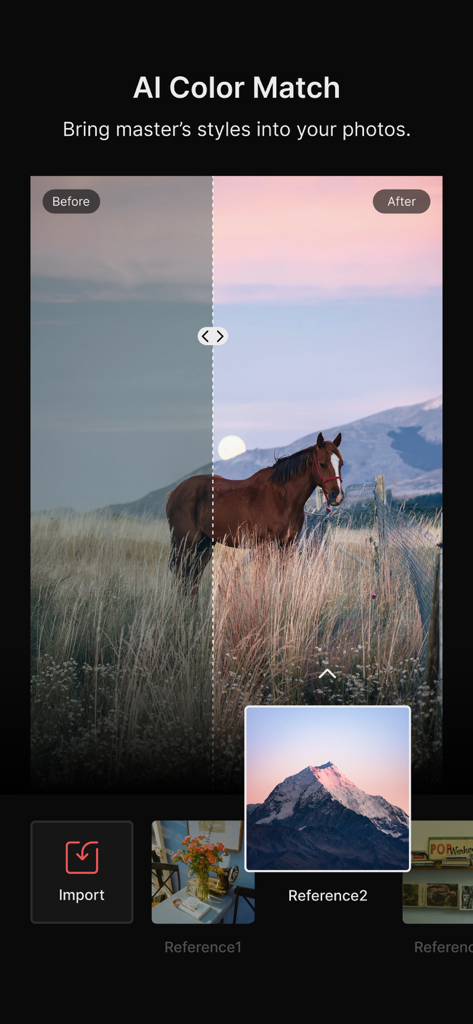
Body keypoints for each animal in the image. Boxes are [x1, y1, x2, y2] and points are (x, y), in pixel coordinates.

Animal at [166, 432, 343, 593]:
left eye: (340, 463)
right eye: (322, 464)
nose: (337, 496)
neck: (282, 498)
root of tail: (175, 492)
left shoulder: (286, 545)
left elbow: (280, 579)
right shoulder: (265, 546)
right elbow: (263, 579)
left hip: (205, 544)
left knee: (192, 578)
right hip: (185, 544)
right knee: (180, 577)